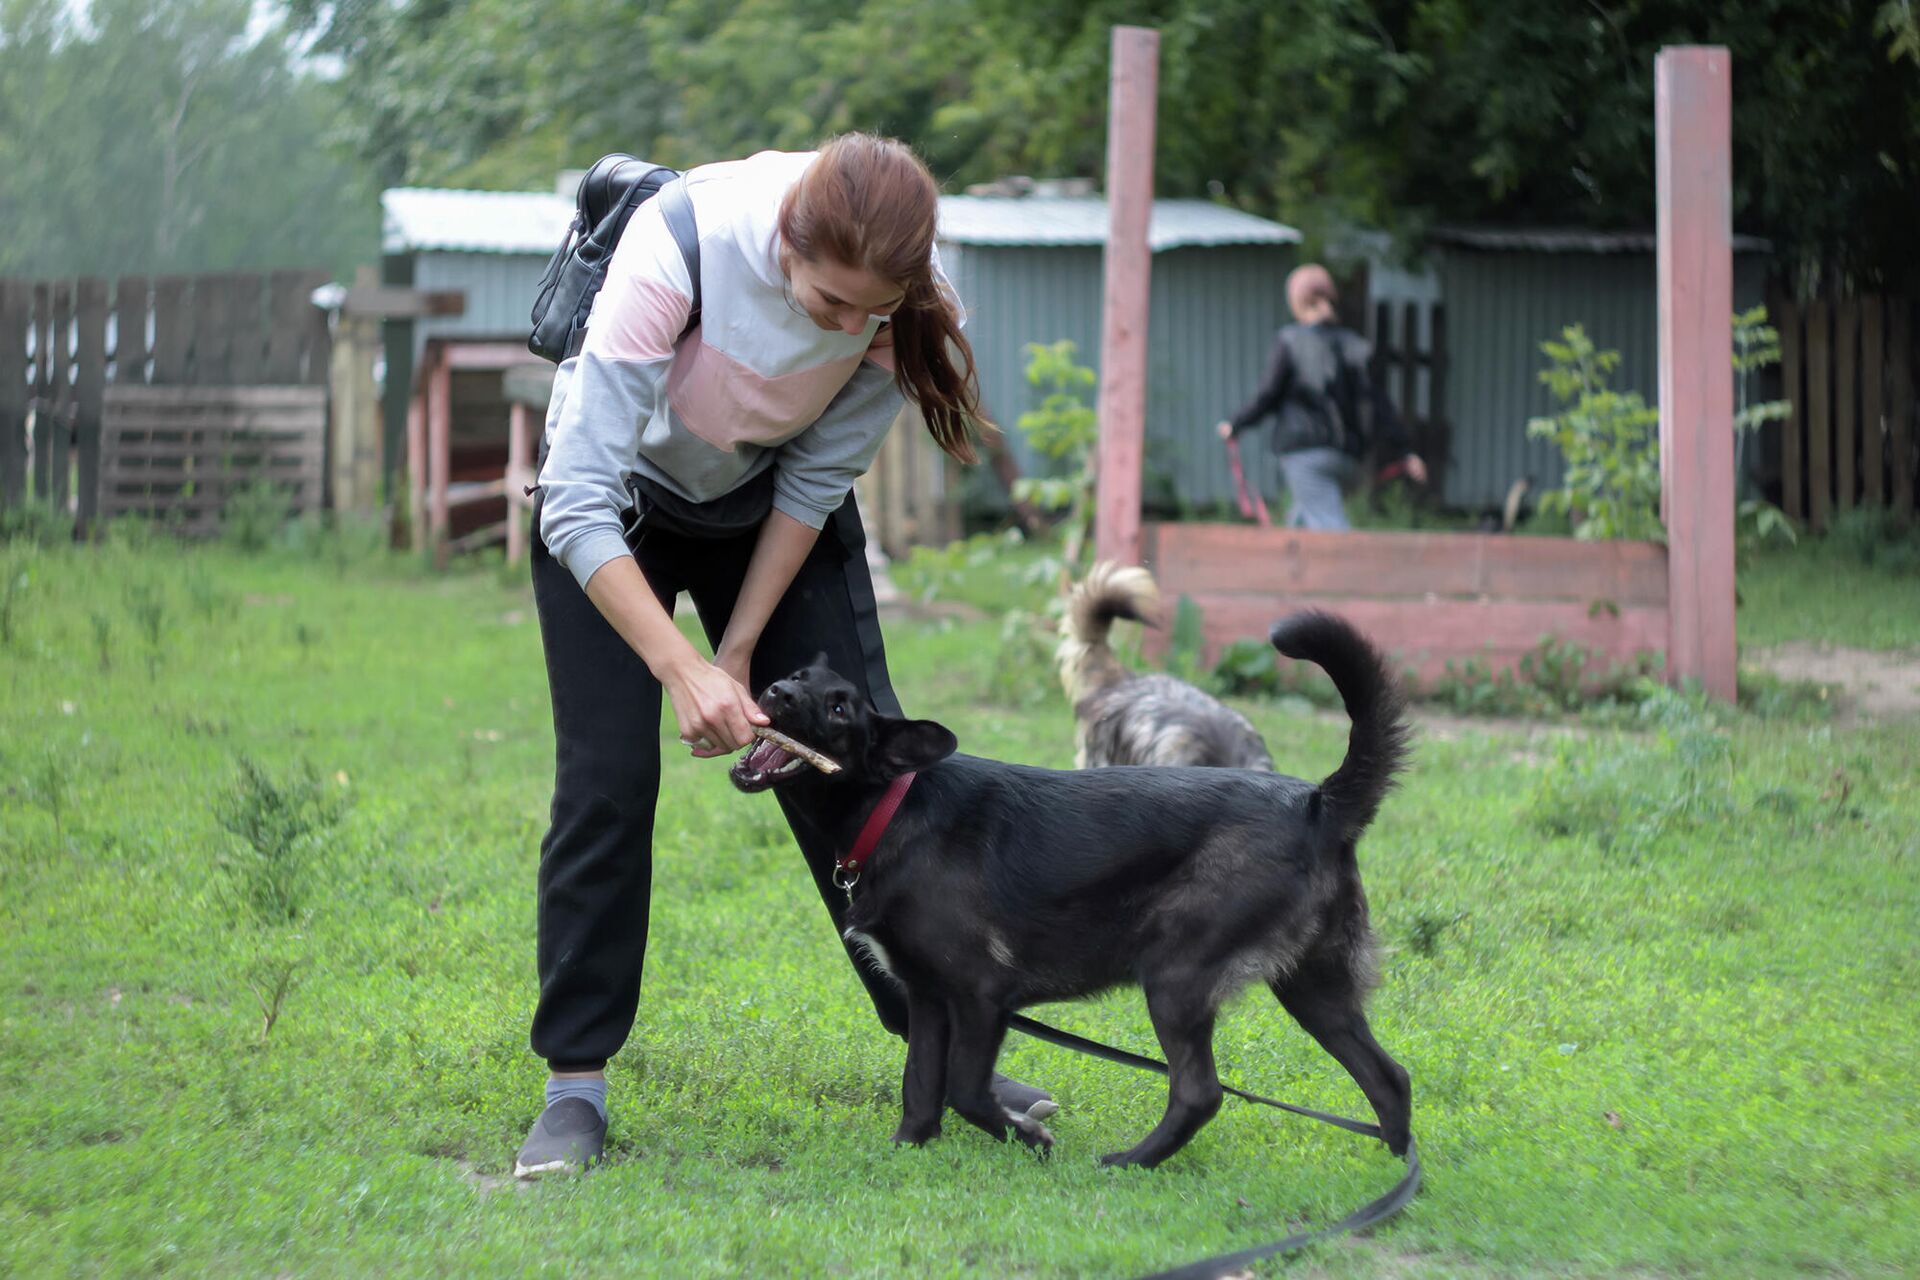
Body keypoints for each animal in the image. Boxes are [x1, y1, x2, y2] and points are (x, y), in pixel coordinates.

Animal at [725, 614, 1405, 1166]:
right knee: (1390, 1077)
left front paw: (1027, 1137)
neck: (893, 809)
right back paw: (1397, 1174)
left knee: (1199, 1092)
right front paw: (907, 1151)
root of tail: (1318, 804)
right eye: (794, 677)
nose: (776, 691)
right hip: (1313, 988)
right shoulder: (927, 998)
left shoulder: (981, 995)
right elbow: (919, 1087)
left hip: (1176, 976)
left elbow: (964, 1089)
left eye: (839, 709)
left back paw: (1130, 1163)